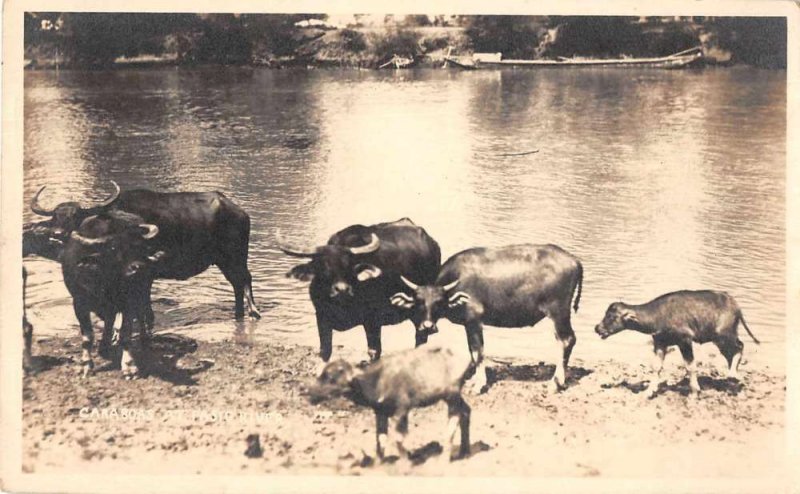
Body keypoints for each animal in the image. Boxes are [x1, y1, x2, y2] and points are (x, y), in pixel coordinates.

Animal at [23, 179, 260, 322]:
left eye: (75, 216)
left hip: (236, 256)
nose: (58, 233)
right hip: (224, 260)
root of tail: (239, 211)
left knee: (245, 279)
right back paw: (238, 313)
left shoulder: (144, 270)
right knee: (236, 283)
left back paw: (253, 312)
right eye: (55, 217)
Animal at [62, 210, 164, 376]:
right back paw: (104, 346)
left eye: (141, 246)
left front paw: (129, 366)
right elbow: (87, 336)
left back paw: (144, 338)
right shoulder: (79, 302)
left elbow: (126, 334)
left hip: (143, 292)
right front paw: (86, 364)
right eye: (114, 248)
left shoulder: (129, 301)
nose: (139, 267)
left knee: (142, 314)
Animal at [280, 218, 444, 360]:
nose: (342, 290)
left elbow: (374, 351)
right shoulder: (321, 316)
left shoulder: (372, 320)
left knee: (421, 336)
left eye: (349, 266)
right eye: (323, 267)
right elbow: (325, 351)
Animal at [310, 344, 476, 464]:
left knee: (454, 420)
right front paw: (378, 464)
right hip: (452, 397)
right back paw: (464, 452)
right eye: (321, 374)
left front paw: (405, 464)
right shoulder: (380, 412)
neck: (377, 381)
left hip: (452, 395)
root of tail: (470, 360)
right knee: (466, 411)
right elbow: (380, 439)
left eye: (331, 378)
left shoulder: (402, 410)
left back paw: (445, 459)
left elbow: (398, 439)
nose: (309, 392)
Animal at [596, 290, 760, 398]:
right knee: (731, 354)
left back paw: (732, 375)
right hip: (719, 340)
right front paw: (649, 391)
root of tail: (735, 304)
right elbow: (657, 368)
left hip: (724, 335)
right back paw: (731, 378)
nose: (597, 328)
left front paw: (694, 391)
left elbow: (690, 366)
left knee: (739, 347)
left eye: (611, 316)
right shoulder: (660, 343)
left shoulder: (685, 341)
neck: (659, 315)